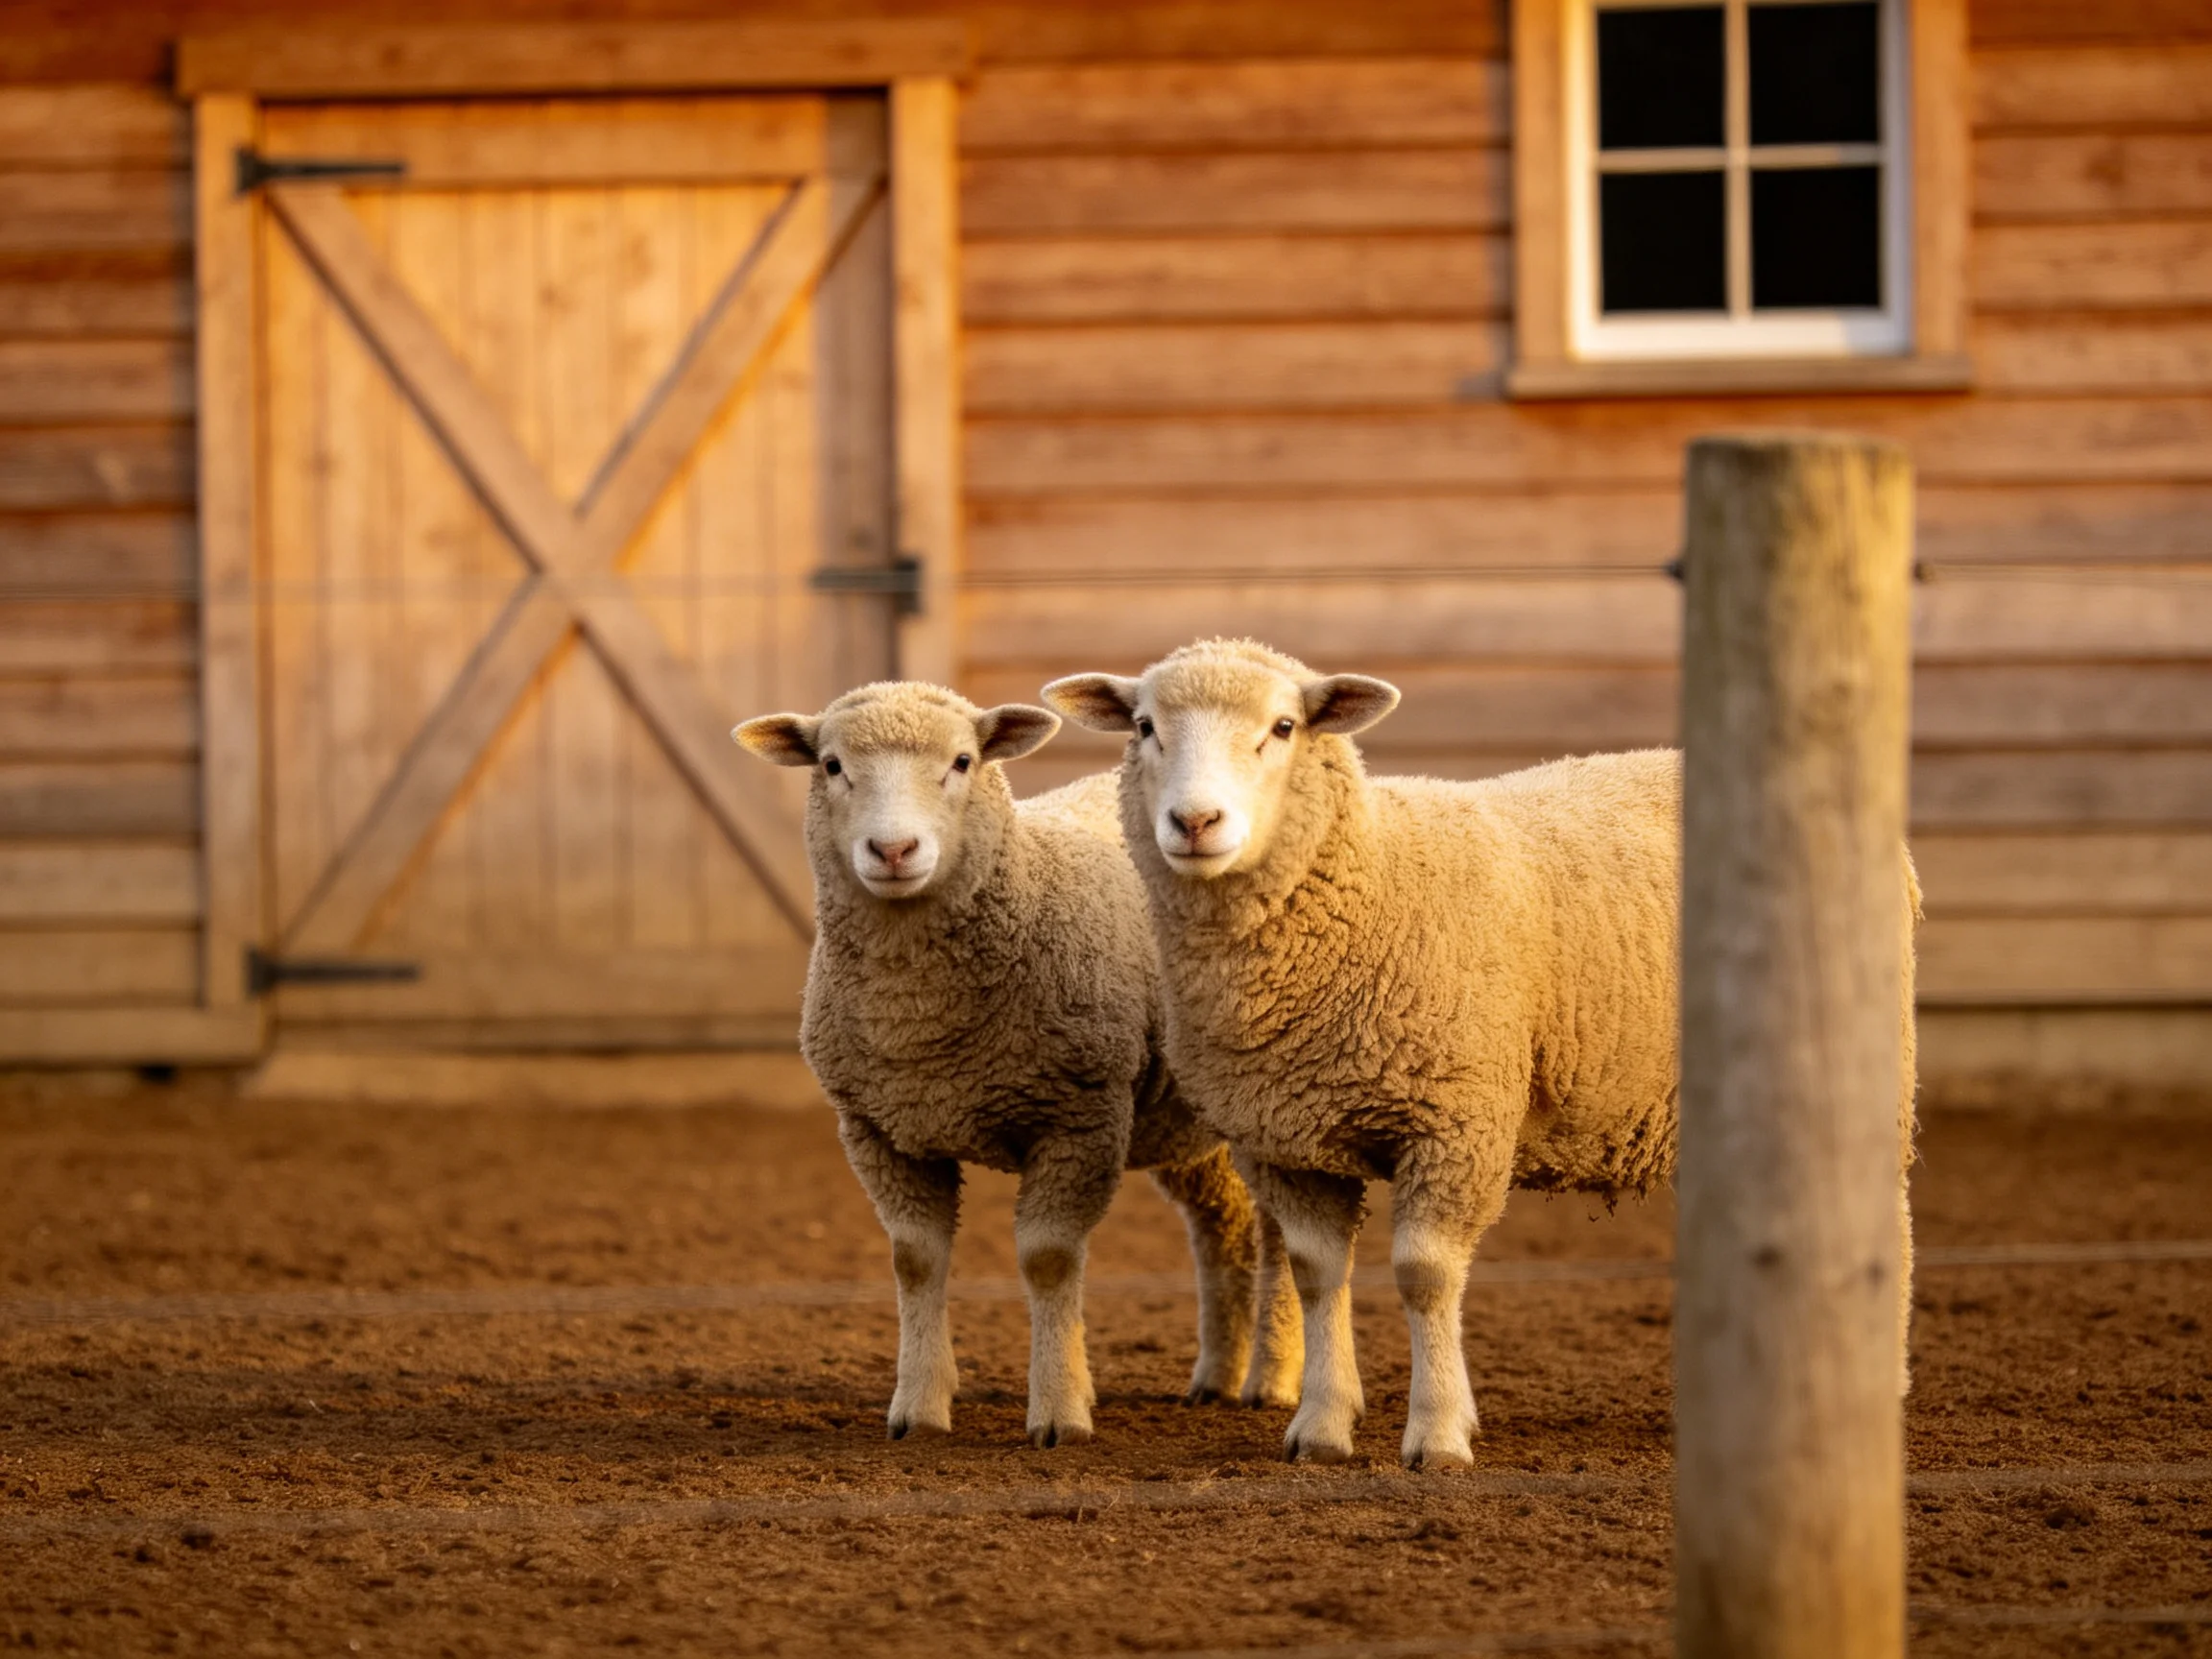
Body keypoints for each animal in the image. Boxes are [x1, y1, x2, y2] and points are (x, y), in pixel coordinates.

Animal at [732, 681, 1300, 1447]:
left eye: (963, 761)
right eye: (831, 766)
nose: (893, 848)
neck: (918, 1022)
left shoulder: (1079, 1117)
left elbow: (1048, 1260)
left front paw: (1059, 1412)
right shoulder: (879, 1132)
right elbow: (915, 1261)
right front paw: (918, 1408)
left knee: (1284, 1234)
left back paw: (1274, 1379)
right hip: (1182, 1123)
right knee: (1224, 1225)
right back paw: (1216, 1376)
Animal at [1044, 639, 1919, 1470]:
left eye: (1284, 727)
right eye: (1145, 727)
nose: (1195, 823)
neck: (1369, 883)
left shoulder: (1455, 1123)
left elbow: (1425, 1276)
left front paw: (1435, 1435)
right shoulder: (1288, 1142)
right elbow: (1318, 1274)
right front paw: (1321, 1426)